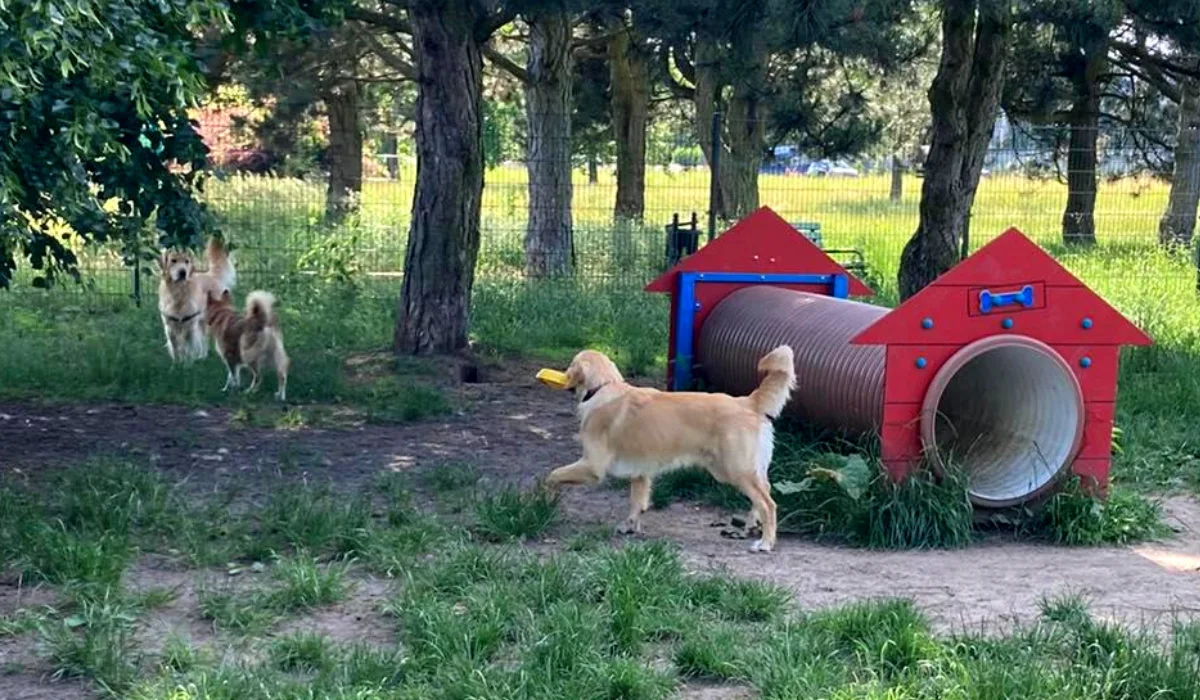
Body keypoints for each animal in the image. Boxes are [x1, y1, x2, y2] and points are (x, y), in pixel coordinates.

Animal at [547, 345, 796, 552]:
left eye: (571, 365)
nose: (563, 375)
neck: (603, 388)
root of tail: (747, 402)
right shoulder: (640, 473)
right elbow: (637, 502)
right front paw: (630, 526)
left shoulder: (593, 466)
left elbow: (553, 475)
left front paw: (546, 497)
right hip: (742, 471)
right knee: (763, 495)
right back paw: (750, 527)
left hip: (736, 470)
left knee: (768, 504)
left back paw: (765, 542)